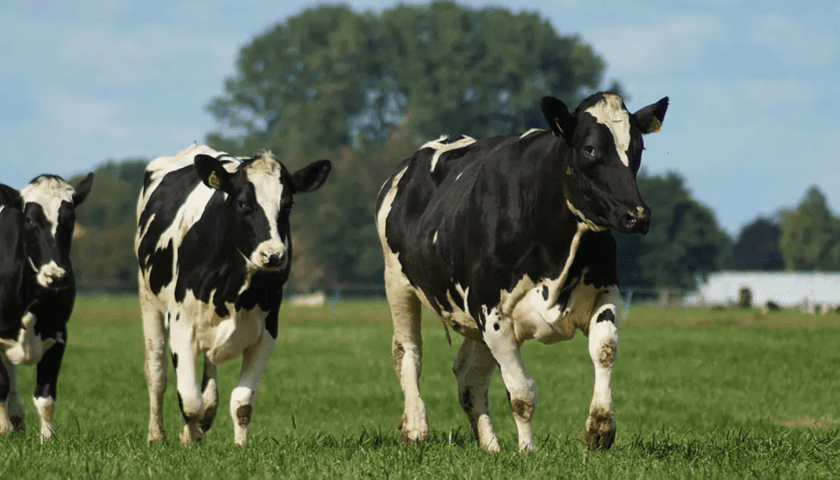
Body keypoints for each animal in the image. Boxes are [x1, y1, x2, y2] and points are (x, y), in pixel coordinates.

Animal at [0, 174, 94, 443]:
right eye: (29, 219)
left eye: (70, 219)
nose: (57, 275)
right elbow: (1, 385)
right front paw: (3, 430)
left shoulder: (58, 334)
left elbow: (45, 396)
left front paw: (48, 440)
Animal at [136, 144, 330, 445]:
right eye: (242, 203)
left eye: (288, 205)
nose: (274, 255)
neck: (235, 288)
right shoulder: (182, 325)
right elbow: (189, 400)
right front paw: (189, 437)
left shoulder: (267, 332)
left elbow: (241, 403)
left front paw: (240, 446)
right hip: (149, 301)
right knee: (156, 370)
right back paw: (157, 434)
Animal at [375, 92, 668, 452]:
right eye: (590, 149)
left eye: (638, 148)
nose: (636, 215)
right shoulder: (492, 314)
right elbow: (522, 393)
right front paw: (528, 450)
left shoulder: (604, 291)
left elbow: (605, 349)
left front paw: (600, 427)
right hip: (397, 282)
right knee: (408, 352)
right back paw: (416, 428)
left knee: (468, 374)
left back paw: (490, 446)